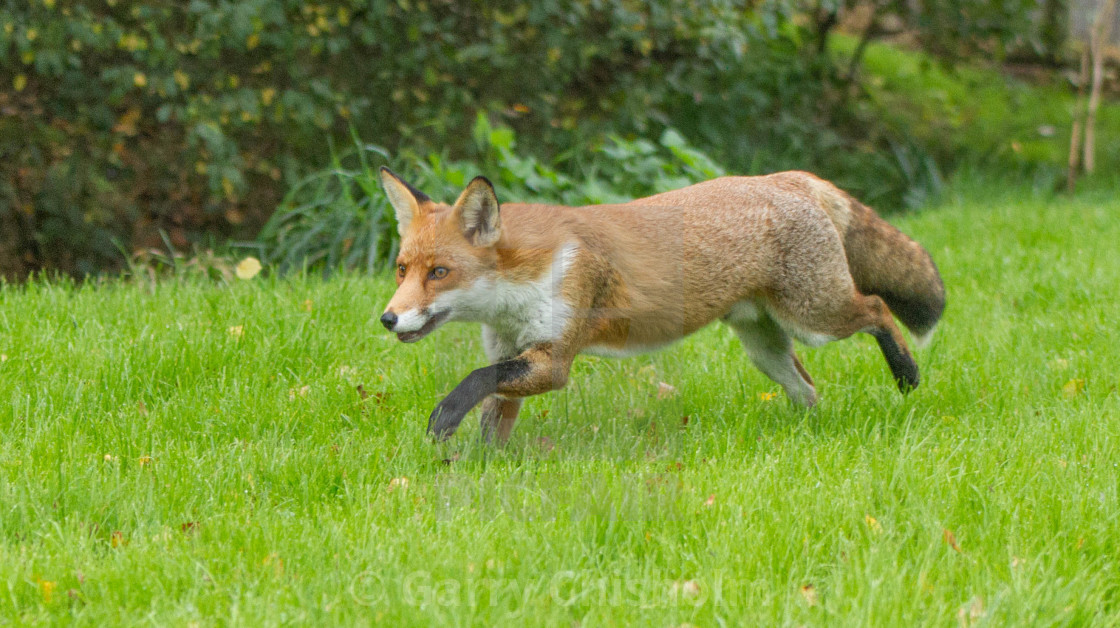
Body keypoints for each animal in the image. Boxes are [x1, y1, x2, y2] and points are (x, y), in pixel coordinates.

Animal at [378, 166, 945, 441]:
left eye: (440, 273)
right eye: (403, 269)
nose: (387, 318)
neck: (519, 286)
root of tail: (783, 178)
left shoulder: (554, 359)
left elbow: (472, 381)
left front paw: (443, 420)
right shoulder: (511, 352)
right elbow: (491, 416)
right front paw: (477, 470)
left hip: (816, 317)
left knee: (877, 308)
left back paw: (906, 374)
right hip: (766, 347)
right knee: (808, 390)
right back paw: (808, 433)